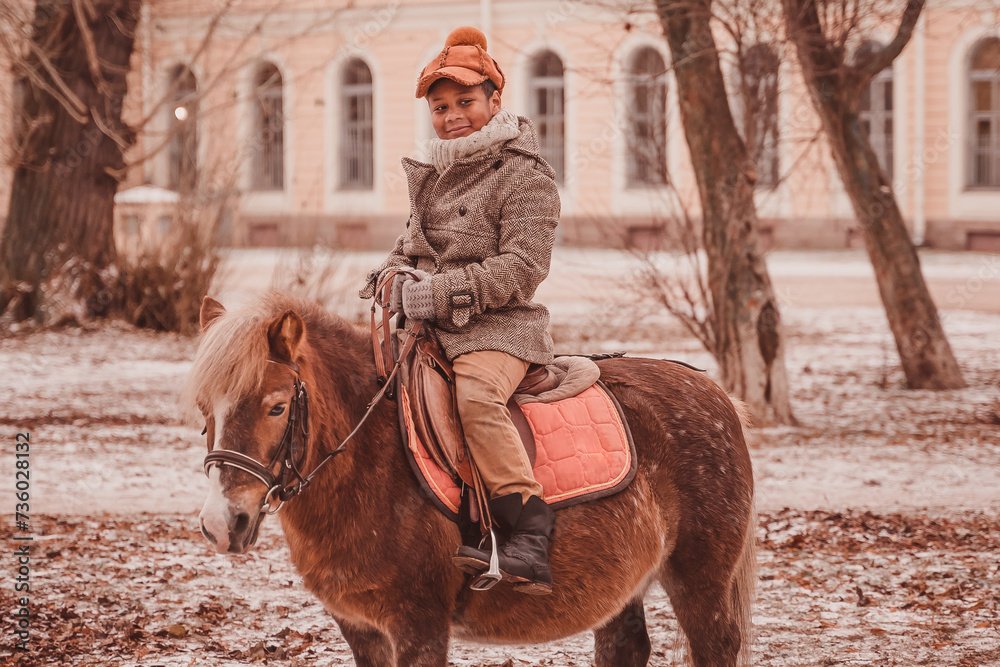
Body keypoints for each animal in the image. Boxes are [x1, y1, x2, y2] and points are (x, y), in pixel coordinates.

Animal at [186, 292, 756, 667]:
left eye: (276, 407)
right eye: (203, 407)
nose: (222, 524)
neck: (369, 466)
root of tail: (717, 394)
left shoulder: (418, 624)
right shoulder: (359, 628)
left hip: (700, 580)